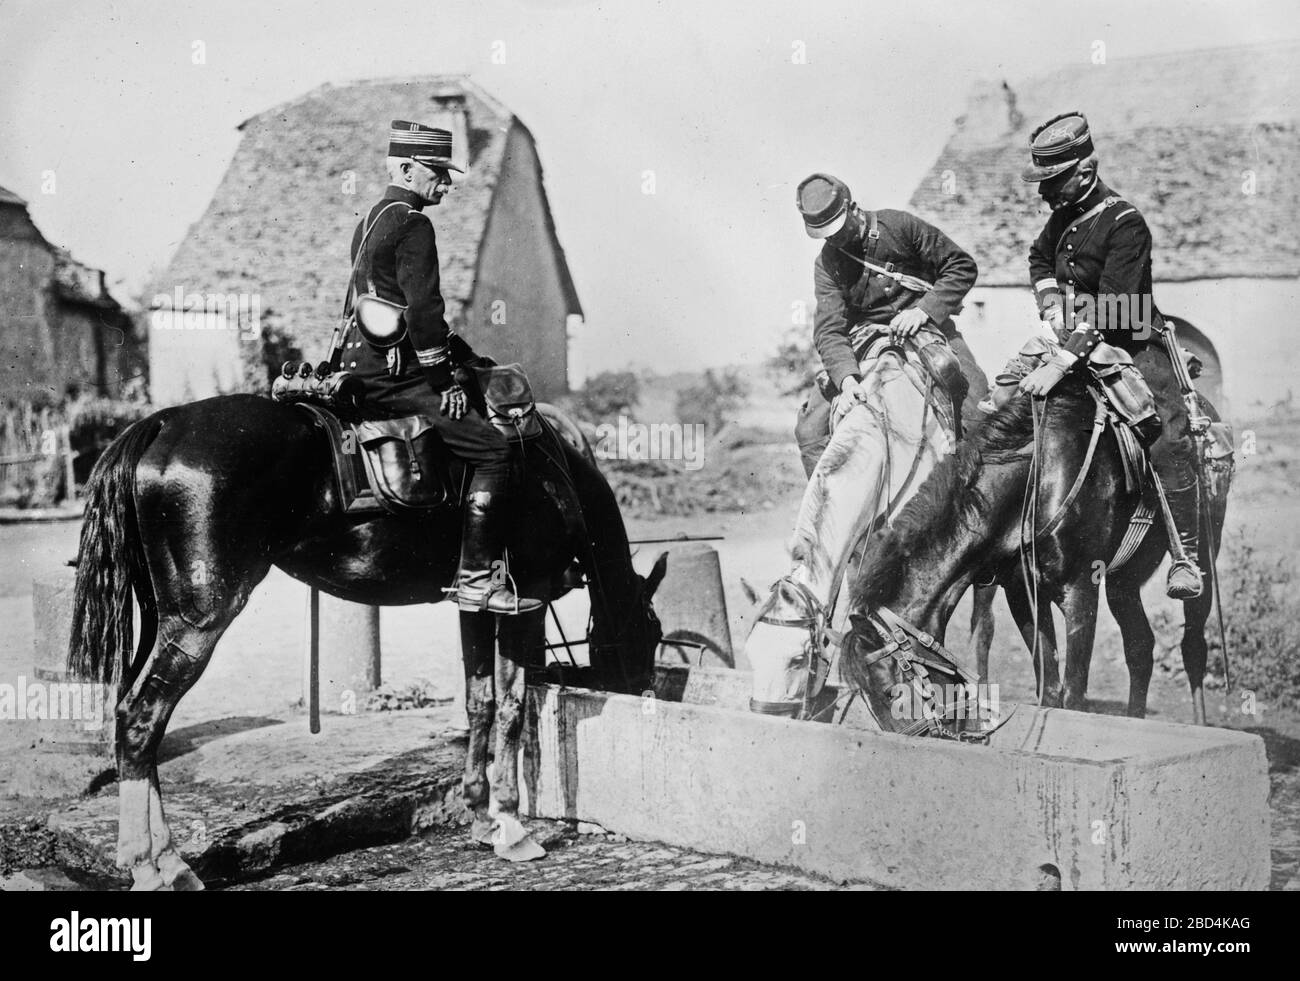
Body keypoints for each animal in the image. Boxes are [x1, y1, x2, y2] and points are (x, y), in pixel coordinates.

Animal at [65, 392, 665, 888]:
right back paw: (152, 866)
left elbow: (481, 702)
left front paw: (479, 816)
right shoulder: (529, 601)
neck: (551, 469)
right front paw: (512, 826)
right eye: (652, 635)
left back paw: (162, 860)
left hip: (161, 620)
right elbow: (514, 706)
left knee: (134, 720)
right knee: (141, 719)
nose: (640, 688)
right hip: (198, 622)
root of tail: (163, 423)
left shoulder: (475, 603)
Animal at [743, 337, 993, 722]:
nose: (766, 721)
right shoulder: (859, 555)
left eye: (798, 659)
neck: (888, 443)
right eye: (751, 653)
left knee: (984, 624)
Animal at [832, 371, 1227, 732]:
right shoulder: (1023, 595)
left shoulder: (1080, 590)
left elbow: (1073, 694)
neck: (1038, 477)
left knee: (1193, 647)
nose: (925, 736)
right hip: (1123, 582)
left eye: (888, 688)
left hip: (1203, 564)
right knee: (1140, 647)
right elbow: (1049, 689)